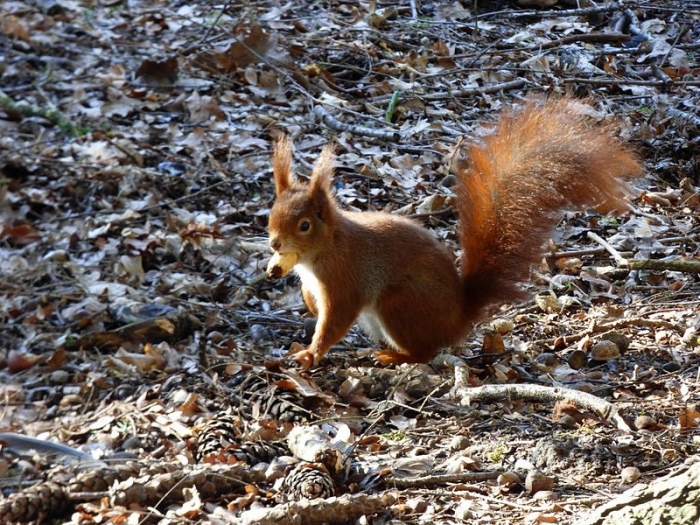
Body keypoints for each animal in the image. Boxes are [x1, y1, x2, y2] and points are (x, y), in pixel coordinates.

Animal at [267, 98, 644, 369]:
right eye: (271, 213)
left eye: (304, 225)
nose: (274, 242)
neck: (321, 253)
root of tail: (459, 318)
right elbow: (314, 303)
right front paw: (309, 310)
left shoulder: (346, 278)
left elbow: (335, 320)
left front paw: (310, 353)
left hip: (399, 305)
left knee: (426, 351)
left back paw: (395, 356)